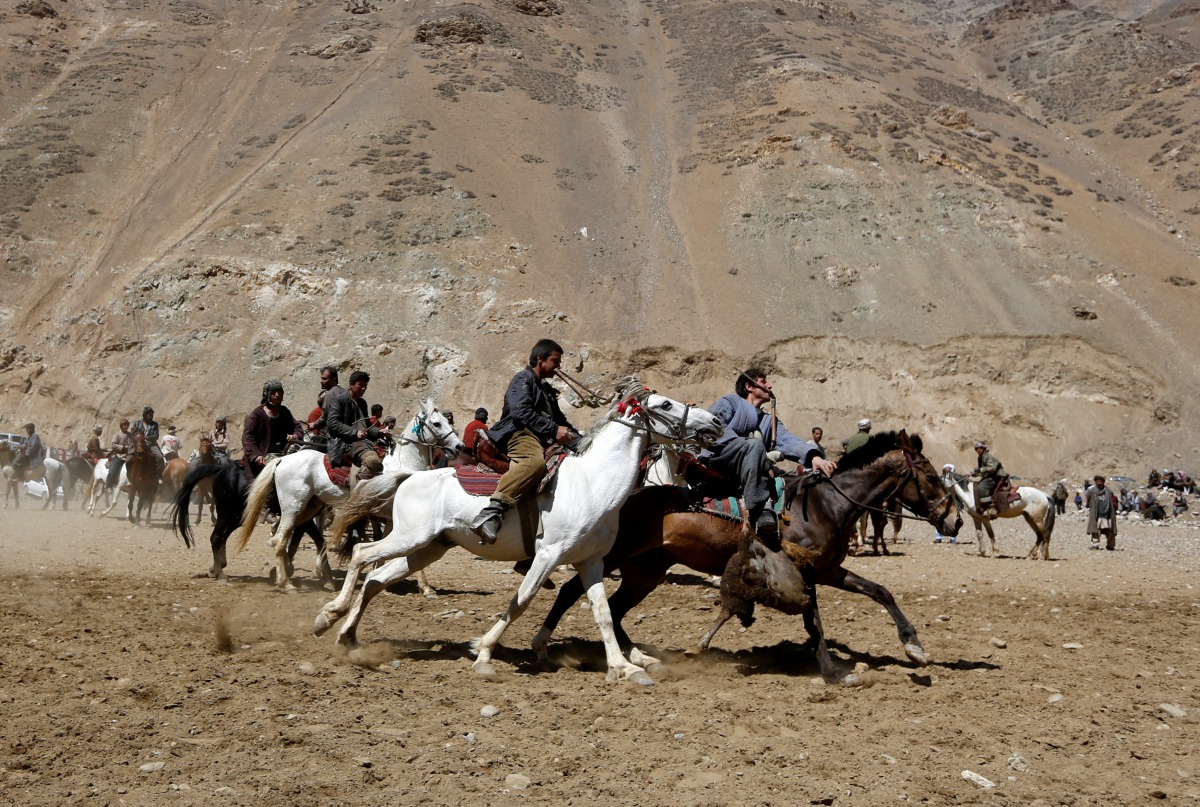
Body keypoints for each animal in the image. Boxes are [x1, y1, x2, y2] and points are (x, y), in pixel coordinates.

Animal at [231, 403, 460, 593]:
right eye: (437, 423)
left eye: (448, 420)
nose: (459, 447)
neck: (401, 466)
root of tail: (282, 460)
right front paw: (424, 587)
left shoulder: (389, 518)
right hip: (292, 506)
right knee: (280, 538)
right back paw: (286, 583)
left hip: (309, 508)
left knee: (289, 536)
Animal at [312, 381, 720, 682]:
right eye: (665, 404)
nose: (714, 423)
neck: (591, 484)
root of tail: (410, 476)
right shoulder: (547, 555)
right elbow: (521, 601)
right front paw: (483, 652)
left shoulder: (591, 561)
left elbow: (602, 612)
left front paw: (624, 667)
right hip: (410, 538)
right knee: (362, 556)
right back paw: (329, 613)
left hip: (428, 548)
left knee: (375, 580)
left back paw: (346, 636)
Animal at [530, 427, 960, 682]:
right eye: (932, 476)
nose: (954, 521)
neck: (824, 504)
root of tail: (624, 498)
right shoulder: (804, 573)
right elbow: (814, 621)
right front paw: (831, 670)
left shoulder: (827, 571)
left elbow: (879, 591)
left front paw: (914, 648)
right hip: (613, 558)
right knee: (572, 593)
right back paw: (545, 649)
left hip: (645, 572)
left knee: (616, 610)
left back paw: (642, 658)